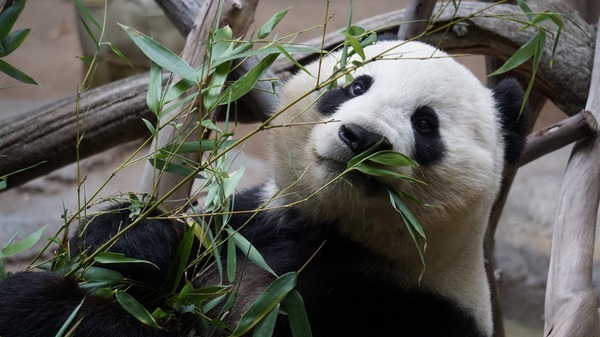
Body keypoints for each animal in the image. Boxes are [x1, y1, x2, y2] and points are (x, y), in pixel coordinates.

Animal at [0, 38, 524, 334]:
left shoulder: (405, 308)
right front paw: (131, 242)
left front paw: (38, 304)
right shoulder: (249, 224)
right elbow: (173, 247)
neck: (336, 234)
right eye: (356, 85)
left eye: (426, 123)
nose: (361, 138)